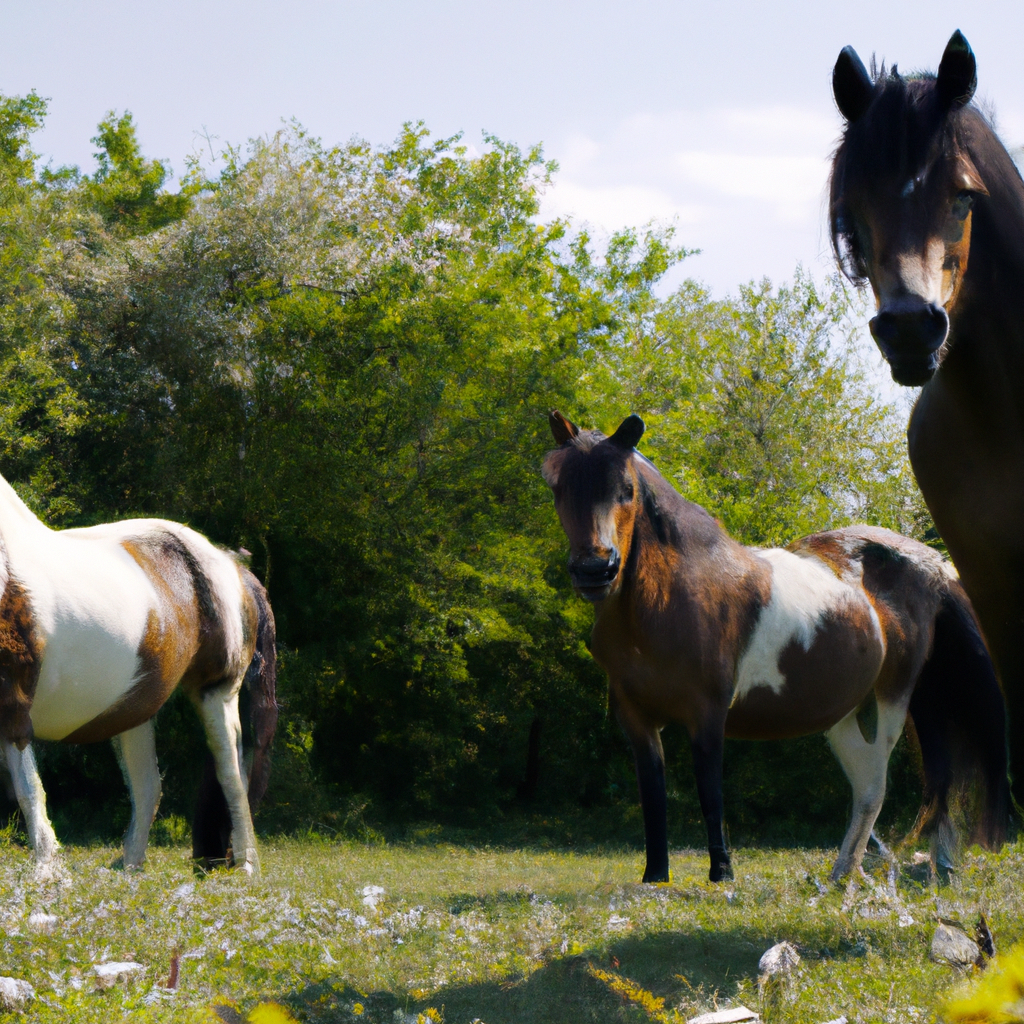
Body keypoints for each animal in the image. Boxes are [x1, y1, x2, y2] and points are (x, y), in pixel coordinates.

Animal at [0, 473, 278, 880]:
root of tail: (231, 564)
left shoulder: (14, 701)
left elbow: (29, 789)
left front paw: (47, 872)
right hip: (134, 709)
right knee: (148, 786)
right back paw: (128, 868)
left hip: (217, 692)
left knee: (231, 774)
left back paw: (246, 865)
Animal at [544, 407, 1007, 880]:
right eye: (557, 486)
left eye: (627, 490)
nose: (595, 570)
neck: (674, 594)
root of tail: (935, 565)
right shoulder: (636, 719)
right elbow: (652, 798)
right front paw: (655, 878)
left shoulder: (707, 713)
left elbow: (710, 793)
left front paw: (722, 876)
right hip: (845, 713)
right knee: (879, 782)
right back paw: (864, 875)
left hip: (891, 701)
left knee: (876, 787)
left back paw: (849, 876)